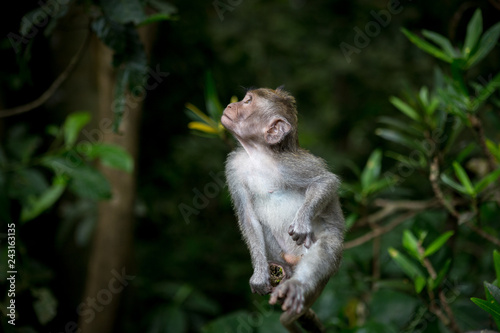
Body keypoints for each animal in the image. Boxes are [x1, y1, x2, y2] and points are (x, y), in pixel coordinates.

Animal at [223, 87, 344, 330]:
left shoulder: (289, 165)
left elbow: (325, 181)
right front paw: (260, 274)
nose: (231, 105)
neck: (259, 156)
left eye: (247, 102)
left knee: (324, 250)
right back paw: (284, 272)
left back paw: (296, 285)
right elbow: (249, 219)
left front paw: (302, 221)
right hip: (282, 254)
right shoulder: (234, 166)